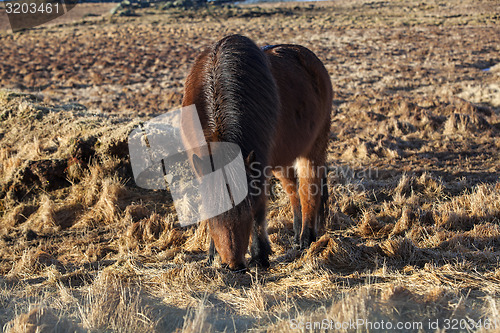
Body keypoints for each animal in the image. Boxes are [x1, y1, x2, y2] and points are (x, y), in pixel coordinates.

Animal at [181, 34, 332, 270]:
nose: (234, 265)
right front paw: (212, 255)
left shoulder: (259, 166)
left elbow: (259, 212)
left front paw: (260, 256)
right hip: (284, 158)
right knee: (292, 190)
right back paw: (296, 235)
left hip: (314, 147)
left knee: (309, 189)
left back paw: (307, 239)